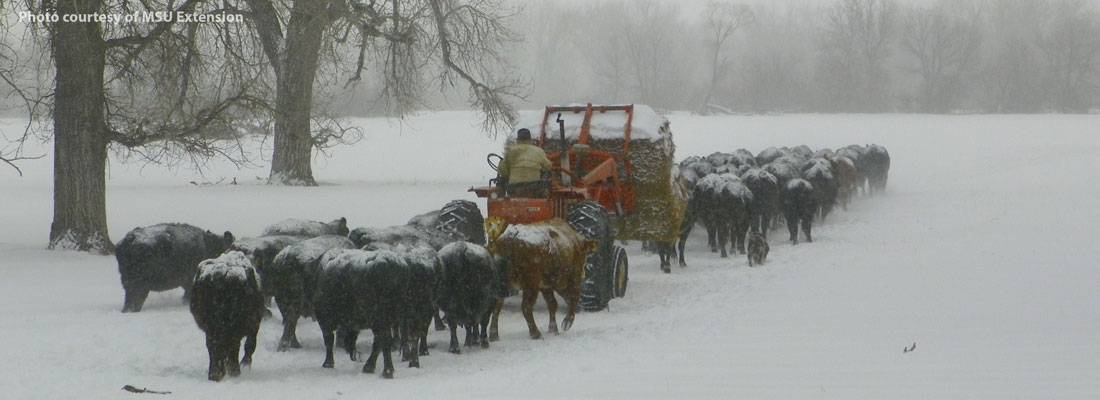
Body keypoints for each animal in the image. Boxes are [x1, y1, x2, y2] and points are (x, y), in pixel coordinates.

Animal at [190, 252, 265, 380]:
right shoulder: (254, 326)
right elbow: (249, 346)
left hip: (213, 326)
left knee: (214, 345)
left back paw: (215, 373)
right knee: (232, 347)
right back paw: (234, 371)